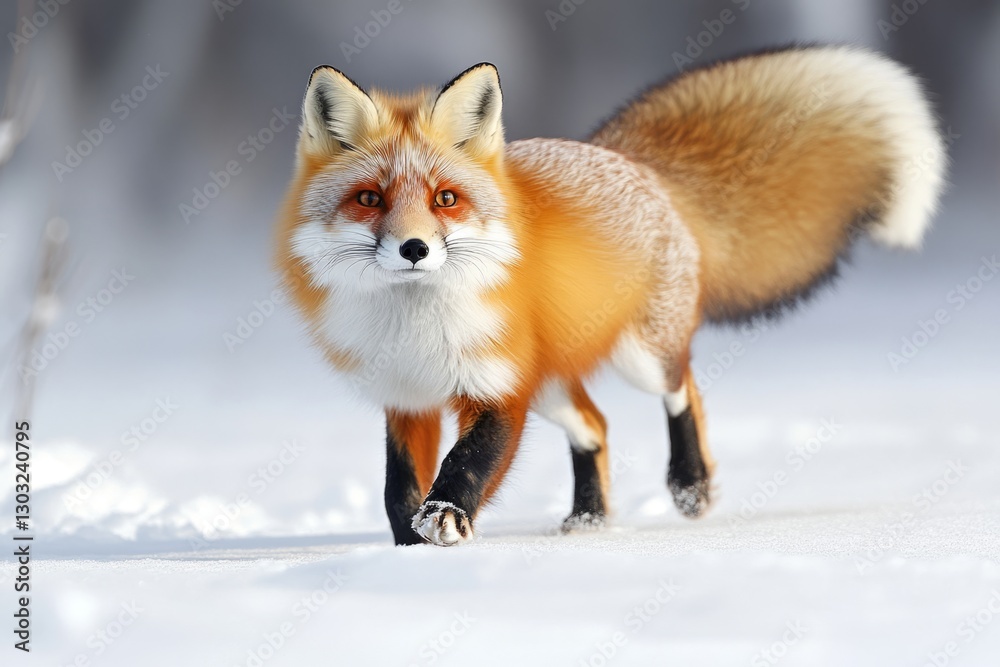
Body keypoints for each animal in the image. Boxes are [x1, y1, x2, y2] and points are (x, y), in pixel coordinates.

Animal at [275, 45, 946, 546]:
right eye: (369, 199)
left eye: (446, 199)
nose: (415, 248)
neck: (414, 327)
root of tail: (628, 161)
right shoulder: (405, 397)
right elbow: (398, 490)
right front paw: (404, 552)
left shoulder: (498, 388)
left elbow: (467, 464)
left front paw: (445, 520)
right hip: (551, 386)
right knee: (595, 423)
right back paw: (591, 518)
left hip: (636, 358)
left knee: (684, 389)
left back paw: (690, 485)